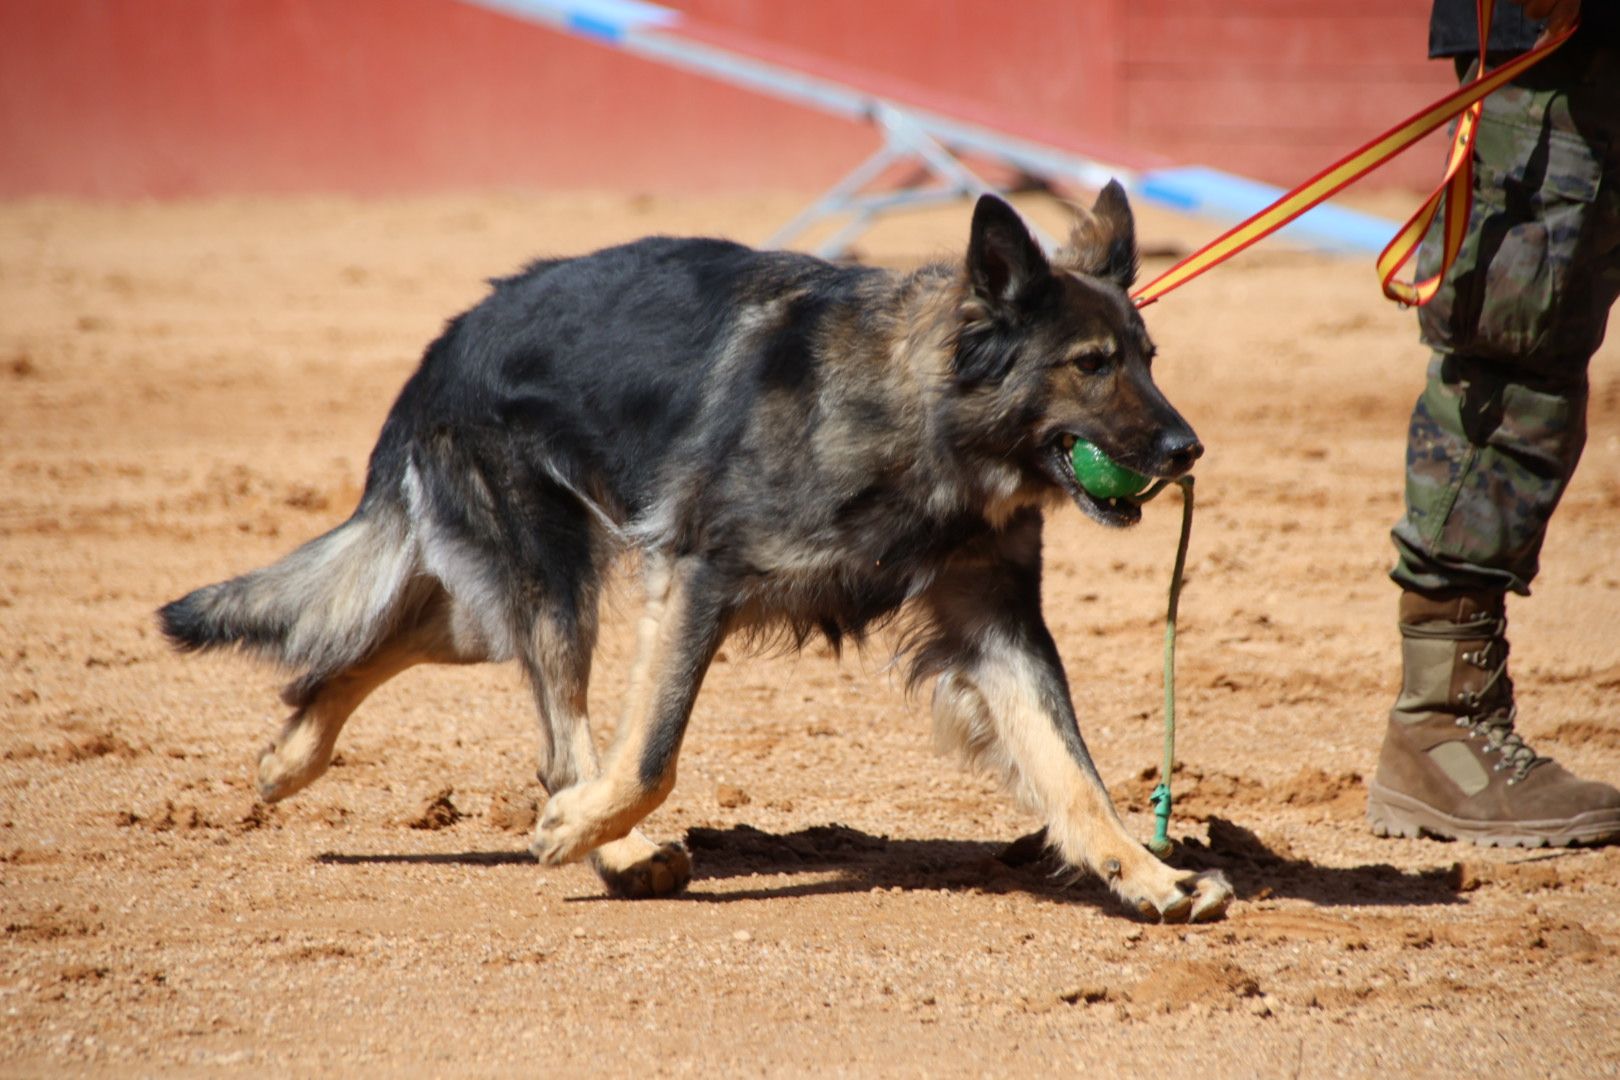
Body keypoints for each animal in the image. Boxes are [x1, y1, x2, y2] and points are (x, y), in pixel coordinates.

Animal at [161, 183, 1224, 919]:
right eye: (1091, 365)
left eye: (1149, 361)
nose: (1188, 451)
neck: (923, 418)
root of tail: (448, 341)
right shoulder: (699, 578)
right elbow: (649, 757)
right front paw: (586, 831)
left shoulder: (996, 622)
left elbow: (1072, 770)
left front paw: (1148, 874)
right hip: (554, 583)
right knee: (560, 742)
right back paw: (610, 848)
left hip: (498, 596)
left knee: (377, 644)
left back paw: (289, 756)